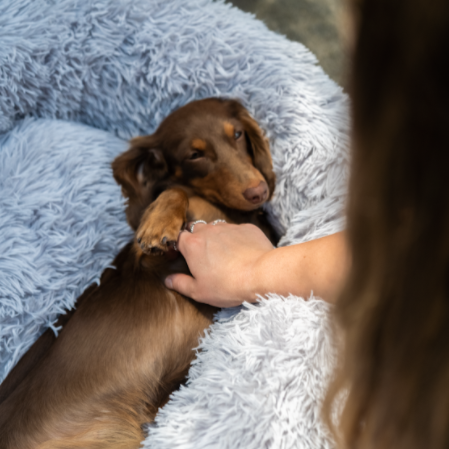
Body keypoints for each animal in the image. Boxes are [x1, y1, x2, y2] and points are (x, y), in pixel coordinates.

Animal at [0, 99, 278, 448]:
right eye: (194, 154)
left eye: (238, 134)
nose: (258, 192)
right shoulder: (145, 261)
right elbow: (172, 193)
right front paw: (158, 222)